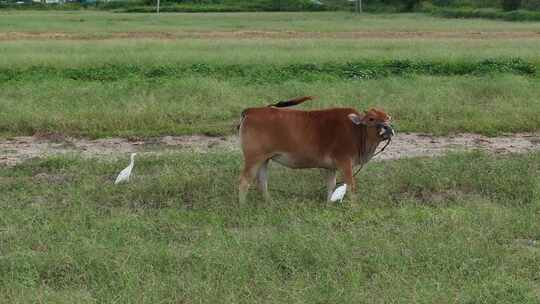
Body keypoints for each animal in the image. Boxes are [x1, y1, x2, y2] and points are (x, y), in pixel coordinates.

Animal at [238, 96, 394, 203]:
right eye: (371, 118)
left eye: (388, 117)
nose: (388, 128)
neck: (356, 130)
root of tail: (253, 111)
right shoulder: (345, 162)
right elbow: (351, 185)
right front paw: (354, 206)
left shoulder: (331, 167)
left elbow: (331, 186)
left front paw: (328, 204)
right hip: (253, 158)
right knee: (244, 182)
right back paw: (242, 206)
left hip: (264, 159)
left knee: (262, 181)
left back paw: (269, 202)